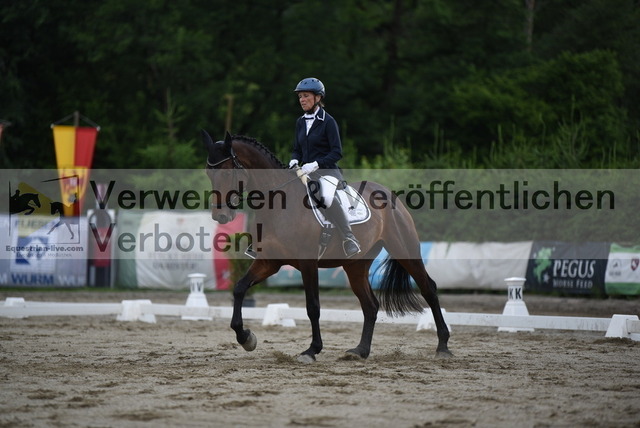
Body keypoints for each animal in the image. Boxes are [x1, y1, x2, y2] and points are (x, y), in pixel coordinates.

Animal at [203, 131, 451, 362]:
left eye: (227, 172)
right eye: (208, 173)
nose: (221, 216)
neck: (279, 205)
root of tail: (389, 194)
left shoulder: (308, 263)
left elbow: (313, 307)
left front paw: (312, 350)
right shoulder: (268, 262)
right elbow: (239, 288)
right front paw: (246, 338)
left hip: (405, 250)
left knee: (428, 288)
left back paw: (443, 347)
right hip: (356, 265)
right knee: (370, 305)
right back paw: (360, 351)